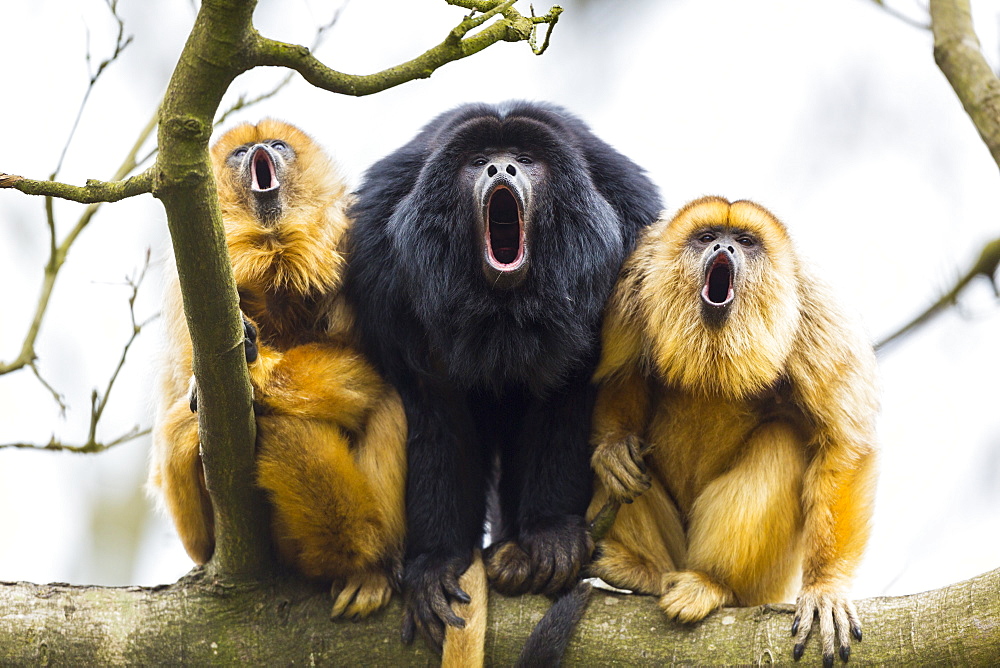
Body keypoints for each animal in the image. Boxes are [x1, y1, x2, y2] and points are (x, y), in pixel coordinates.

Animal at [151, 118, 406, 616]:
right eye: (241, 152)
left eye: (277, 145)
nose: (259, 151)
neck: (275, 252)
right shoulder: (187, 293)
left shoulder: (354, 244)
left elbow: (377, 369)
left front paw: (258, 374)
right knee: (174, 435)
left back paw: (370, 564)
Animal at [588, 196, 880, 664]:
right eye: (707, 237)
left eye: (744, 241)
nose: (723, 248)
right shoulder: (632, 283)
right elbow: (619, 375)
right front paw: (614, 449)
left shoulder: (818, 313)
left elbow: (844, 444)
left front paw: (825, 588)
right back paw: (643, 572)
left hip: (766, 584)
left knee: (782, 442)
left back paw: (713, 583)